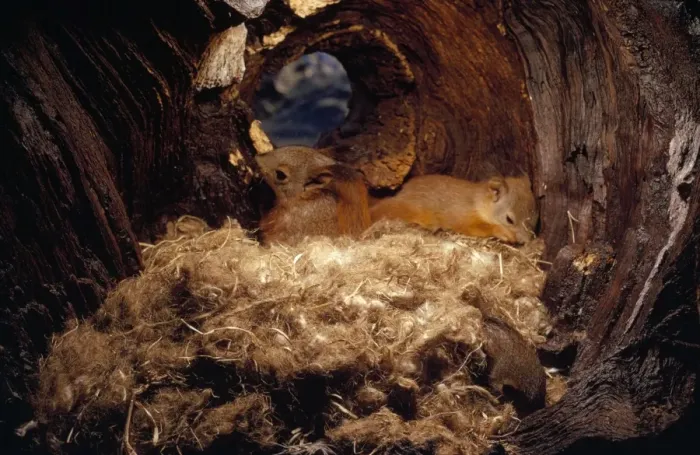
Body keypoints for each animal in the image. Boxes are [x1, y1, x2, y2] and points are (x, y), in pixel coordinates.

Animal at [369, 174, 538, 244]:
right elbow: (472, 227)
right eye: (509, 219)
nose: (525, 241)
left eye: (536, 220)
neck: (477, 202)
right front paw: (502, 233)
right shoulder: (461, 215)